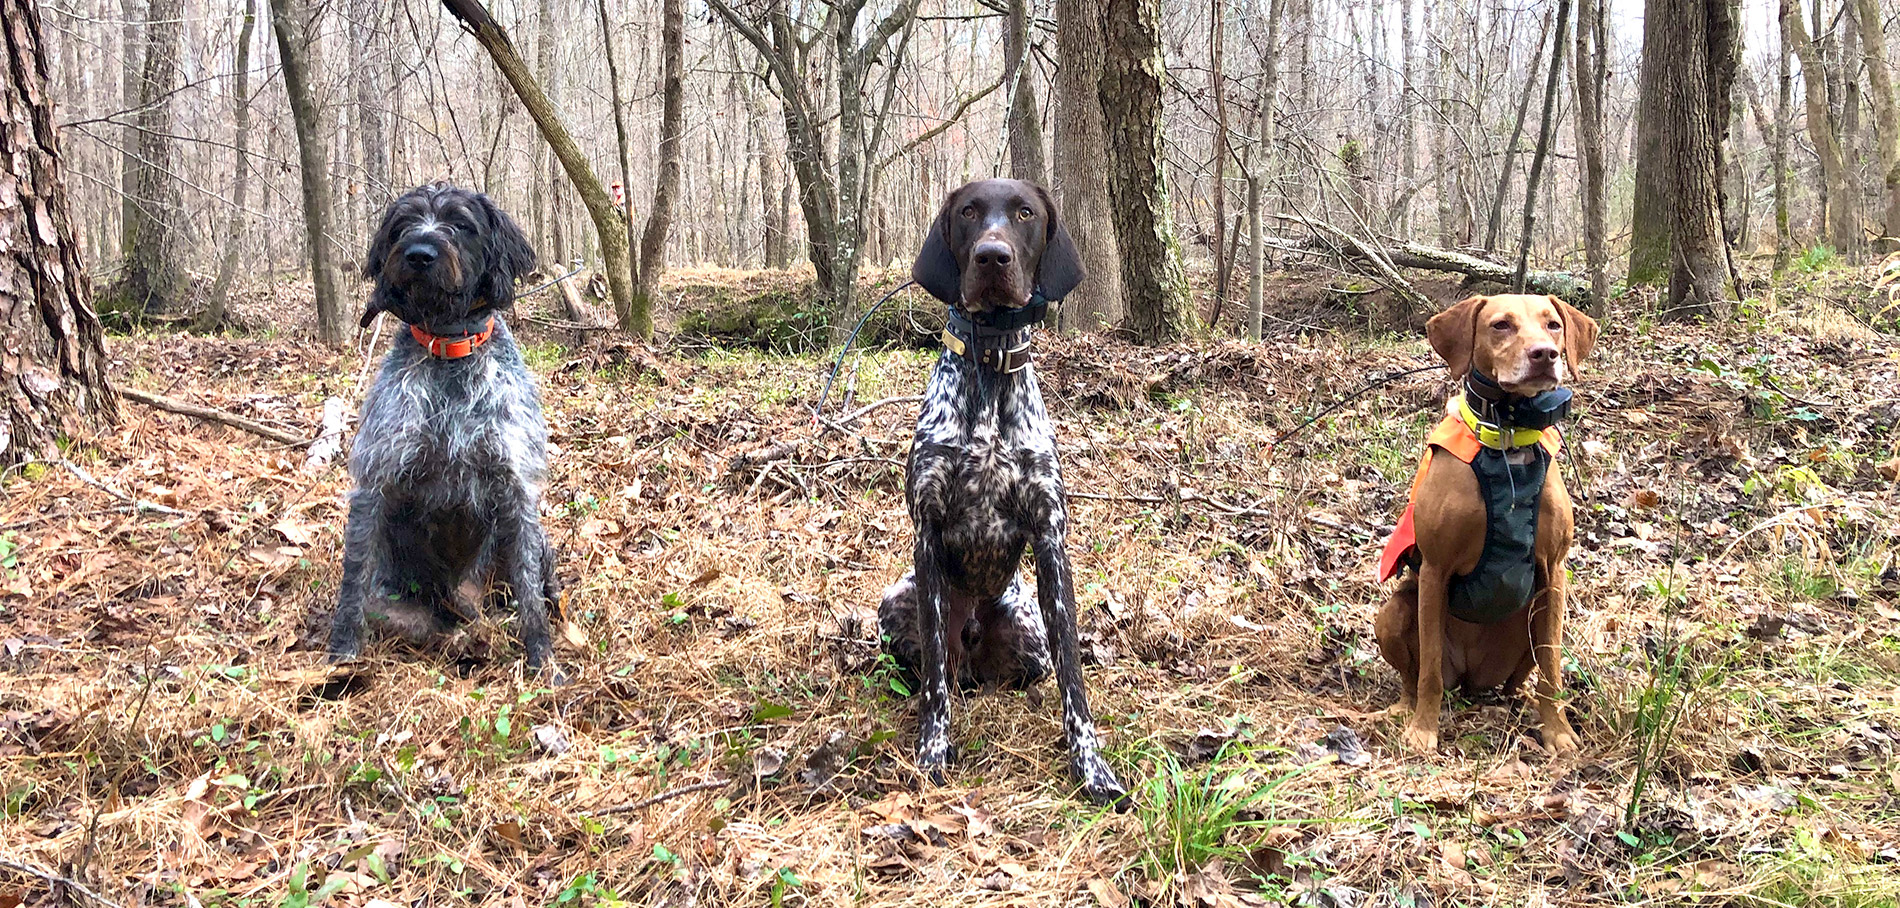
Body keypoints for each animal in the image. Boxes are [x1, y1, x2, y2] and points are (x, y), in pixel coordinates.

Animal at [326, 184, 558, 676]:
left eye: (461, 224)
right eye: (402, 225)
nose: (419, 253)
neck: (448, 349)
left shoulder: (517, 489)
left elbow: (530, 595)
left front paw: (544, 661)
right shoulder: (374, 482)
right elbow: (353, 583)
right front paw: (341, 655)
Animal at [877, 179, 1124, 809]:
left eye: (1025, 214)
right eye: (968, 212)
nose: (993, 257)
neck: (989, 367)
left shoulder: (1051, 538)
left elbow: (1073, 679)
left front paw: (1091, 767)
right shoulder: (927, 534)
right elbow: (934, 680)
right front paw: (932, 750)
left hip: (1026, 628)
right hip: (896, 601)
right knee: (939, 667)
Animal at [1375, 294, 1596, 756]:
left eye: (1553, 325)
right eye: (1501, 326)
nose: (1545, 355)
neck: (1508, 441)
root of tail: (1471, 678)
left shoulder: (1555, 572)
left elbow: (1552, 666)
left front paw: (1558, 731)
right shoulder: (1435, 571)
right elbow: (1429, 672)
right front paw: (1424, 731)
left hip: (1534, 615)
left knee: (1524, 675)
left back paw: (1520, 700)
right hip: (1393, 612)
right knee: (1414, 677)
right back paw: (1405, 708)